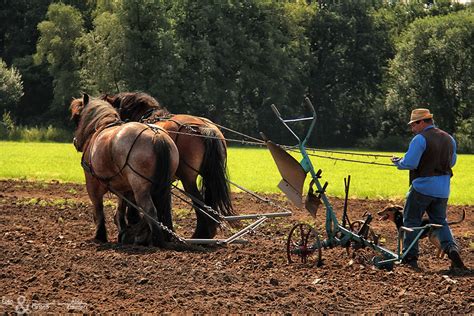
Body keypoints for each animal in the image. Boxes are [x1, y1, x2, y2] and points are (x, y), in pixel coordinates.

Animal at [70, 94, 180, 247]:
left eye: (76, 117)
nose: (75, 141)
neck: (101, 126)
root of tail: (156, 136)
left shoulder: (92, 183)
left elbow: (98, 209)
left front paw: (100, 235)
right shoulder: (124, 187)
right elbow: (121, 208)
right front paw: (121, 230)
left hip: (141, 188)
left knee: (150, 211)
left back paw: (155, 239)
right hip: (164, 186)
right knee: (163, 210)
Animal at [104, 90, 236, 237]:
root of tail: (204, 128)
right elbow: (166, 203)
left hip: (188, 179)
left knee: (200, 205)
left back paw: (199, 234)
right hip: (210, 176)